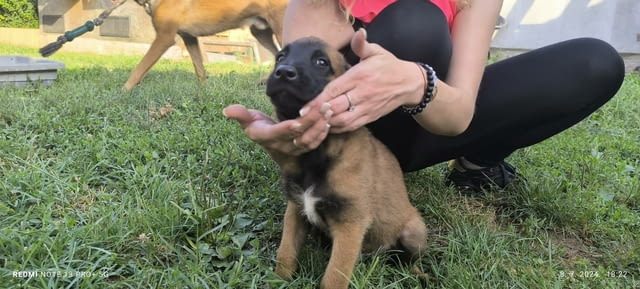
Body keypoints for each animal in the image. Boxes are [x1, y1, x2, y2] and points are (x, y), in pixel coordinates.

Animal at [122, 0, 288, 90]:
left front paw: (123, 92)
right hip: (260, 32)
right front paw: (204, 89)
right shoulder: (189, 38)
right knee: (277, 55)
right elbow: (199, 69)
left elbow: (139, 68)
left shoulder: (164, 38)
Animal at [264, 36, 430, 288]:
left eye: (321, 62)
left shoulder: (350, 224)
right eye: (280, 57)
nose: (283, 72)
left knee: (408, 260)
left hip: (413, 231)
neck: (318, 154)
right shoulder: (295, 209)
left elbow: (334, 275)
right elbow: (286, 253)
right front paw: (278, 281)